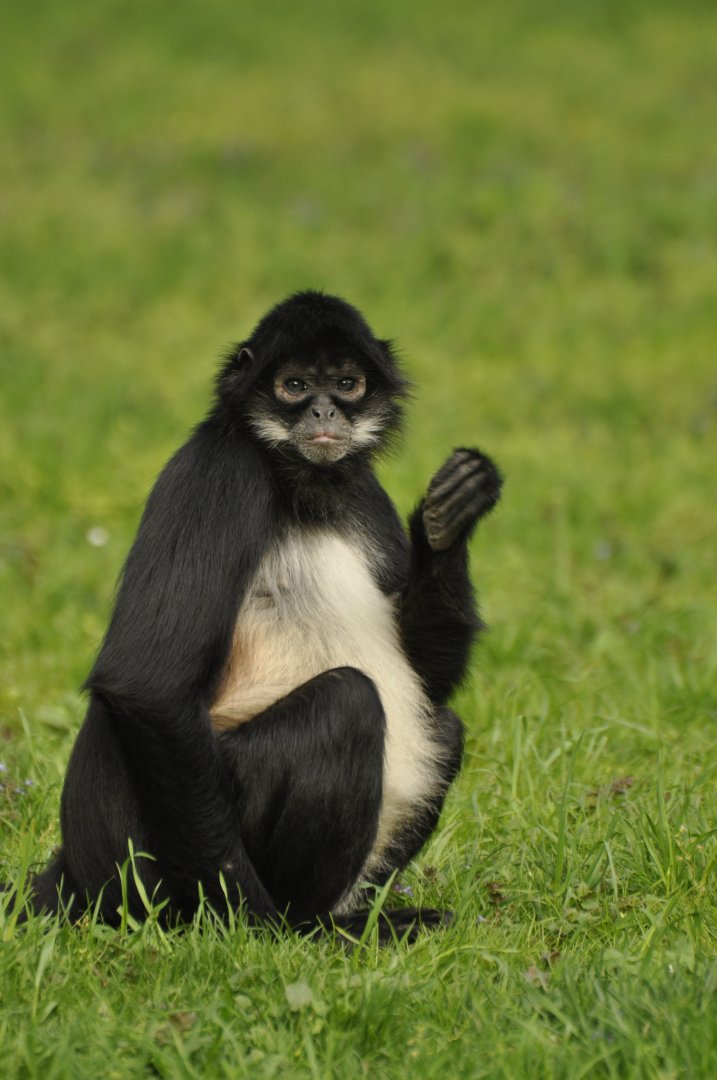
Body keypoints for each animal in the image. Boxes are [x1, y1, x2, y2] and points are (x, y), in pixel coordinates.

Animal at [23, 291, 502, 939]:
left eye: (346, 383)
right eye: (294, 385)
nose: (325, 411)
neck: (302, 487)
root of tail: (75, 869)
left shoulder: (363, 491)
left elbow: (431, 680)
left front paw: (448, 522)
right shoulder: (219, 472)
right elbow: (145, 684)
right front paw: (249, 925)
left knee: (442, 724)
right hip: (149, 868)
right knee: (348, 700)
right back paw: (310, 930)